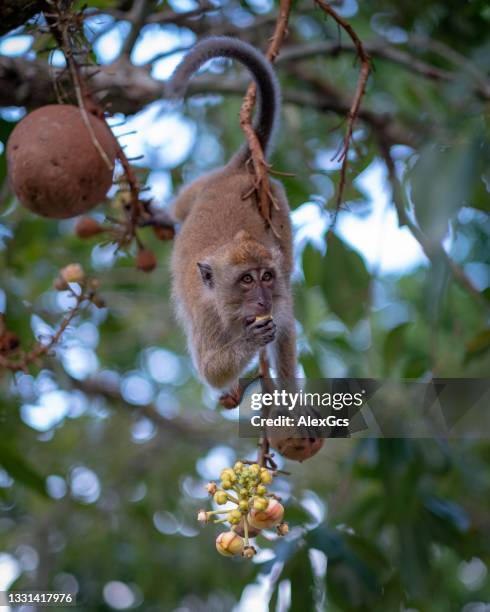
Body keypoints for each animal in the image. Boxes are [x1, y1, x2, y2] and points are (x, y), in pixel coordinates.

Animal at [167, 35, 296, 404]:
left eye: (266, 276)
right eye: (247, 280)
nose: (263, 300)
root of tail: (235, 172)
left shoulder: (281, 298)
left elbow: (287, 331)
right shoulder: (207, 316)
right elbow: (212, 371)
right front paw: (251, 340)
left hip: (275, 198)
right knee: (178, 209)